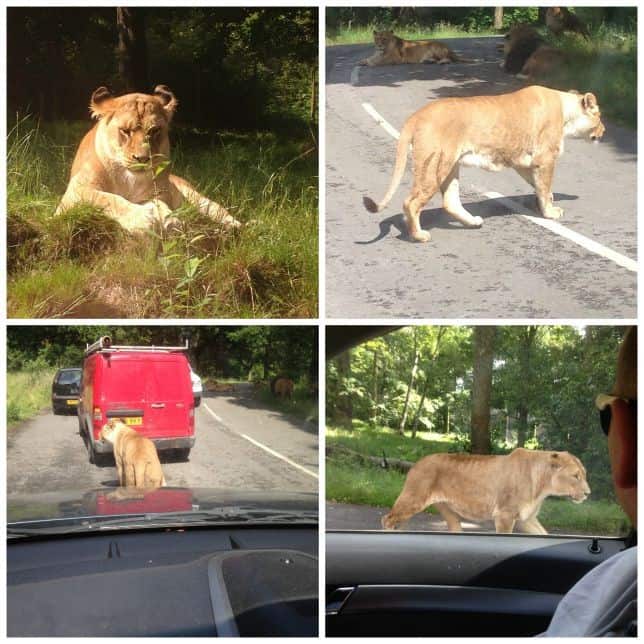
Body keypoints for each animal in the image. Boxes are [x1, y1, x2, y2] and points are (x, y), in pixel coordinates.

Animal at [54, 84, 242, 233]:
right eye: (125, 131)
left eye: (154, 131)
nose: (143, 158)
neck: (127, 180)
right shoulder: (75, 193)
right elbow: (108, 199)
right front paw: (141, 219)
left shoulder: (157, 193)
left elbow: (160, 205)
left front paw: (170, 219)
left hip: (195, 195)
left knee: (216, 209)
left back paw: (235, 226)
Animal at [364, 85, 608, 244]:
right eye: (599, 116)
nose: (604, 131)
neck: (566, 111)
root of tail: (415, 116)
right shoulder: (544, 158)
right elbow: (545, 185)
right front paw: (550, 212)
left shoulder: (523, 161)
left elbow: (539, 186)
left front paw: (547, 200)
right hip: (433, 166)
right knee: (411, 202)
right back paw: (419, 235)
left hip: (450, 166)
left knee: (450, 201)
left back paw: (473, 222)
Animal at [380, 448, 592, 532]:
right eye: (576, 476)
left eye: (584, 474)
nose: (588, 493)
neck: (542, 488)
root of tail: (417, 462)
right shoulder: (504, 515)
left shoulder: (527, 519)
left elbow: (544, 534)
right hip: (413, 500)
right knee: (387, 518)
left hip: (448, 511)